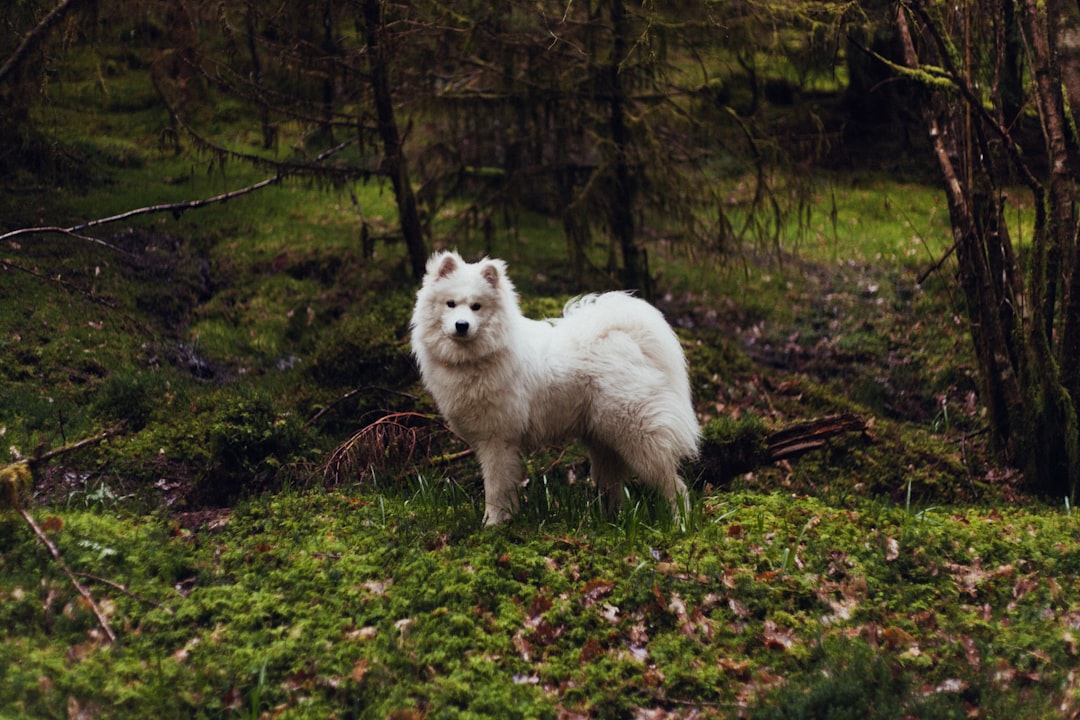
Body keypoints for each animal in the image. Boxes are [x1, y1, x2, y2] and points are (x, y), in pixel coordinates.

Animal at [406, 250, 699, 526]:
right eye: (451, 304)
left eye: (476, 306)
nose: (462, 325)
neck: (479, 356)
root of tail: (629, 340)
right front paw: (506, 518)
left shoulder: (497, 440)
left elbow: (495, 488)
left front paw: (493, 524)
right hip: (604, 441)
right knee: (613, 488)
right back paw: (609, 521)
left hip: (638, 437)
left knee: (675, 486)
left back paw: (680, 523)